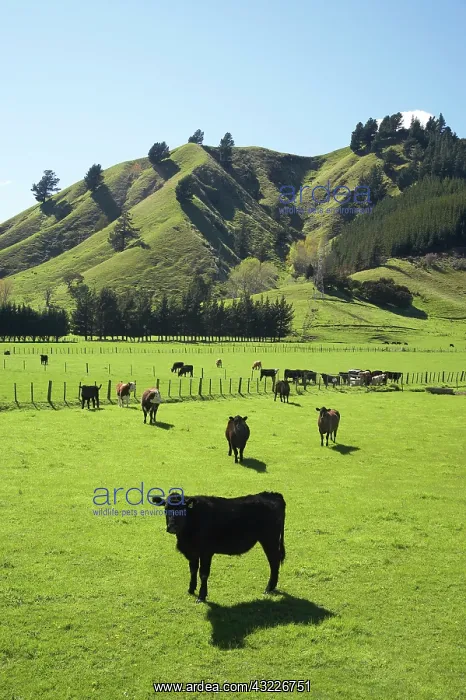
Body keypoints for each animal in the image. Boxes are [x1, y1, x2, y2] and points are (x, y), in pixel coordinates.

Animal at [153, 491, 286, 602]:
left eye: (183, 509)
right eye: (166, 509)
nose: (172, 527)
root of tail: (272, 494)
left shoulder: (206, 552)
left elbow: (203, 573)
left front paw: (201, 596)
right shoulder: (193, 552)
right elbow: (193, 570)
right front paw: (191, 589)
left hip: (270, 539)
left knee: (274, 561)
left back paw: (269, 588)